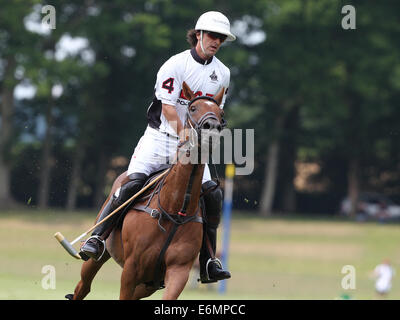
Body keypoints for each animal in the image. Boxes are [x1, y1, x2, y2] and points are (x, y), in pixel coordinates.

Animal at [68, 82, 225, 300]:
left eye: (221, 112)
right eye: (193, 108)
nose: (212, 129)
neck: (175, 209)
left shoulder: (179, 270)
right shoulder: (132, 268)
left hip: (150, 283)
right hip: (100, 257)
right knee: (83, 287)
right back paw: (92, 245)